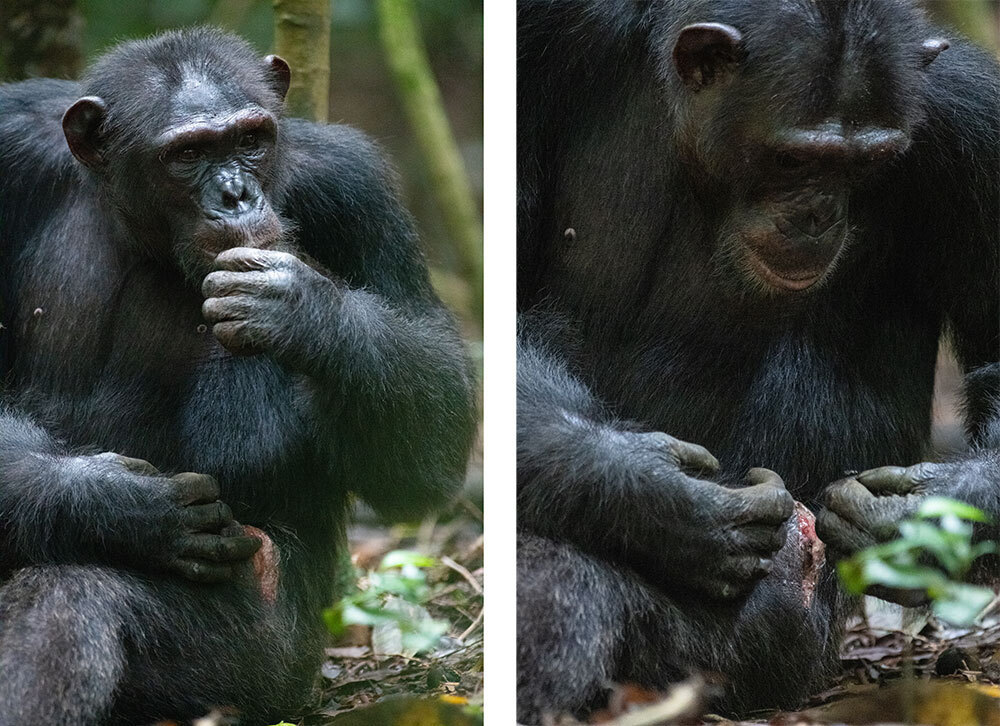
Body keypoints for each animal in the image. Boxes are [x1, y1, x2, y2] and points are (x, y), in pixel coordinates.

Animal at [0, 25, 474, 724]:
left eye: (250, 141)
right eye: (189, 153)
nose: (234, 195)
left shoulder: (356, 189)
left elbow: (428, 447)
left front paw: (303, 309)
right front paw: (119, 502)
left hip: (262, 665)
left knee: (74, 597)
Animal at [516, 0, 1000, 724]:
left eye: (869, 164)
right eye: (792, 158)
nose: (819, 213)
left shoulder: (979, 130)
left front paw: (919, 514)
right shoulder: (536, 47)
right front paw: (662, 495)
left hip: (774, 641)